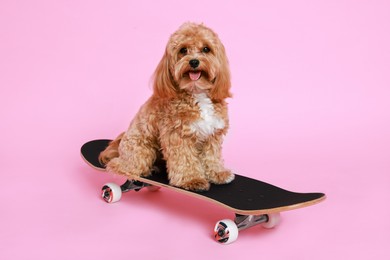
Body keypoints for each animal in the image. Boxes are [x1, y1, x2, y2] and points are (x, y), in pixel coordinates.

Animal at [100, 22, 235, 191]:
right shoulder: (177, 135)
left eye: (206, 49)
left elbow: (212, 157)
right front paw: (192, 180)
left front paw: (218, 173)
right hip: (141, 149)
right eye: (183, 50)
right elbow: (184, 160)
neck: (197, 92)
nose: (194, 62)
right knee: (120, 166)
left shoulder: (213, 134)